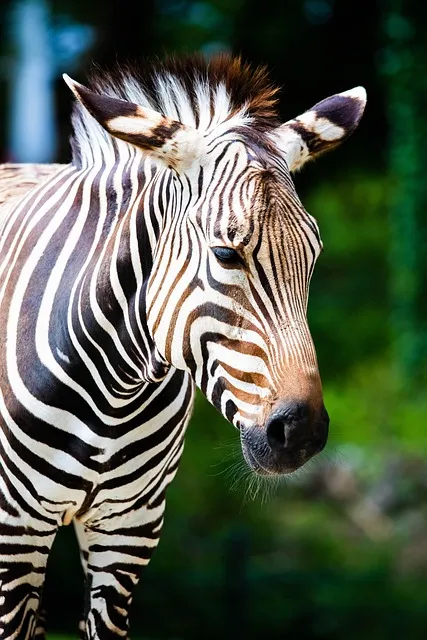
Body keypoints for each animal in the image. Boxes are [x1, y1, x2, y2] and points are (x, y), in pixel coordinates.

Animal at [0, 54, 366, 639]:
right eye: (226, 254)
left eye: (313, 256)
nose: (302, 432)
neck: (114, 393)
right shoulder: (14, 530)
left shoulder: (130, 527)